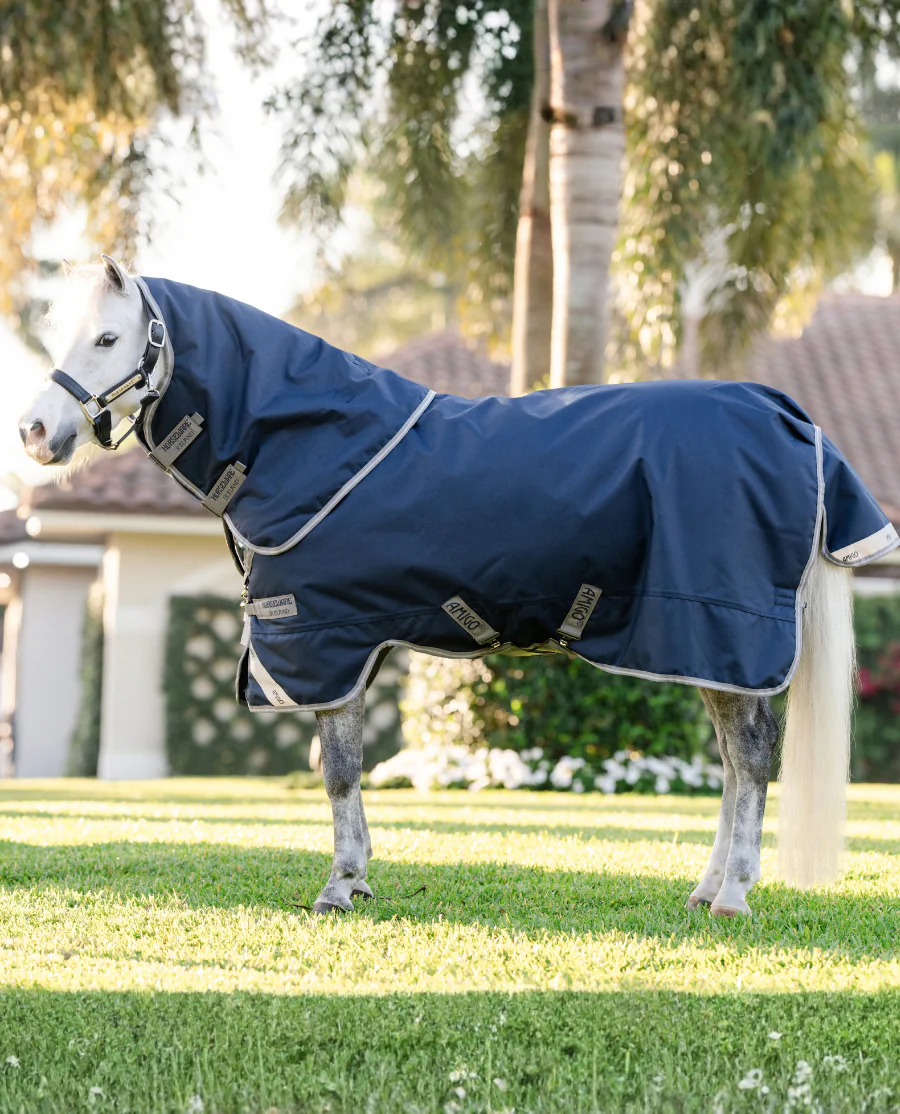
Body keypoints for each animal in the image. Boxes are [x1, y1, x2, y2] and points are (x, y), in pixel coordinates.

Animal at [19, 256, 895, 917]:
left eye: (108, 337)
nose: (34, 433)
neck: (307, 446)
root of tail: (792, 419)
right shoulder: (347, 647)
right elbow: (339, 768)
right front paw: (355, 879)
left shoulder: (326, 643)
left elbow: (336, 771)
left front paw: (340, 886)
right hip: (706, 649)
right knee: (733, 761)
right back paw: (708, 888)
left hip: (723, 633)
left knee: (750, 759)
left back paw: (733, 895)